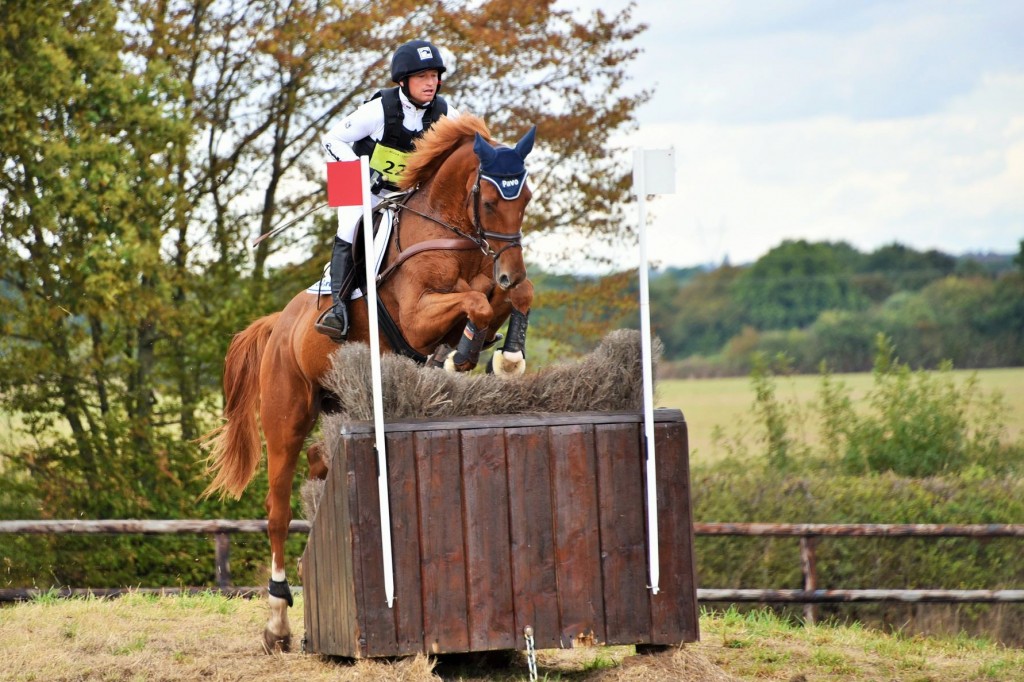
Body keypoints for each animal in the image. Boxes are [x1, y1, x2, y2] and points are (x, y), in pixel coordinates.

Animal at [197, 114, 536, 651]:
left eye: (524, 199)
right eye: (487, 202)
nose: (509, 270)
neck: (452, 234)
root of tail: (278, 324)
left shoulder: (493, 289)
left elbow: (512, 298)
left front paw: (505, 357)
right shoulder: (417, 317)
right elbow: (475, 305)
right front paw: (460, 358)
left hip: (339, 400)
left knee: (319, 459)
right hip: (285, 419)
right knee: (276, 511)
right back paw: (277, 621)